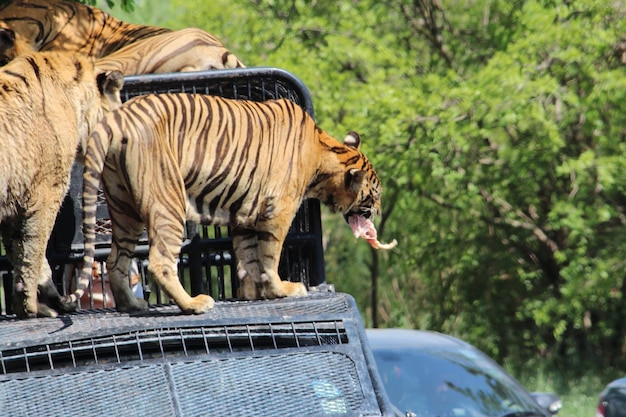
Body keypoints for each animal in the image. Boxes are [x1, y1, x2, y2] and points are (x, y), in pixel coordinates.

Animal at [66, 92, 382, 314]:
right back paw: (194, 304)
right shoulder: (278, 210)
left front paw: (255, 293)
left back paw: (131, 305)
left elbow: (249, 255)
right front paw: (282, 289)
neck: (323, 153)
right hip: (167, 201)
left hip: (123, 208)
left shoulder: (245, 213)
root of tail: (116, 117)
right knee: (160, 262)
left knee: (115, 259)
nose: (378, 211)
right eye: (375, 195)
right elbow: (270, 254)